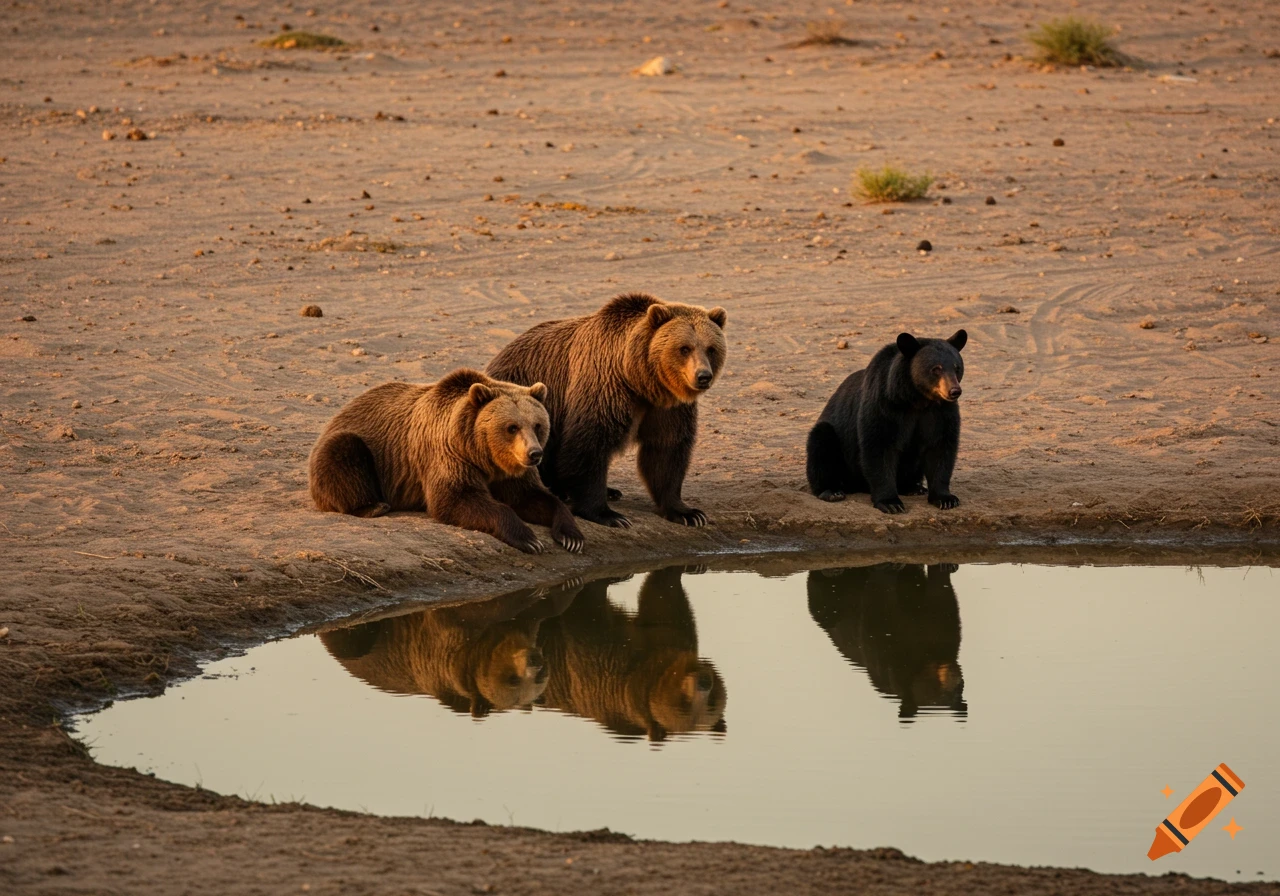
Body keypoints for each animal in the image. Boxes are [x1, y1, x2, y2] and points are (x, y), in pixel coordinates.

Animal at [308, 368, 584, 554]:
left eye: (537, 425)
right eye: (512, 427)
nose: (534, 454)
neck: (482, 455)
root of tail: (340, 412)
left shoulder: (510, 472)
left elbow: (532, 496)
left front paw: (572, 536)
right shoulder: (449, 455)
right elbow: (456, 498)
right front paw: (528, 538)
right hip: (358, 448)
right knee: (344, 451)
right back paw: (373, 506)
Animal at [485, 293, 727, 529]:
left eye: (711, 348)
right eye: (684, 348)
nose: (703, 376)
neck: (640, 380)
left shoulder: (667, 406)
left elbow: (667, 448)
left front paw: (688, 513)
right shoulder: (605, 387)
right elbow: (590, 443)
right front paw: (607, 514)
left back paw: (609, 491)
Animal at [538, 566, 727, 742]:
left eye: (712, 703)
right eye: (683, 704)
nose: (704, 682)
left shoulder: (670, 632)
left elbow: (663, 596)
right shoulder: (608, 672)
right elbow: (587, 621)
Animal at [806, 329, 967, 514]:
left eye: (957, 368)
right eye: (936, 369)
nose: (954, 391)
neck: (918, 399)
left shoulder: (941, 412)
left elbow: (941, 447)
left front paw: (946, 499)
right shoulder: (884, 403)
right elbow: (879, 445)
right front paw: (891, 503)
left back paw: (913, 487)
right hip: (833, 440)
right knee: (821, 445)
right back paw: (831, 491)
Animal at [807, 563, 966, 719]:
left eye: (956, 690)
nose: (954, 679)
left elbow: (942, 598)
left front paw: (947, 565)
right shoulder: (886, 651)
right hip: (827, 610)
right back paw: (834, 570)